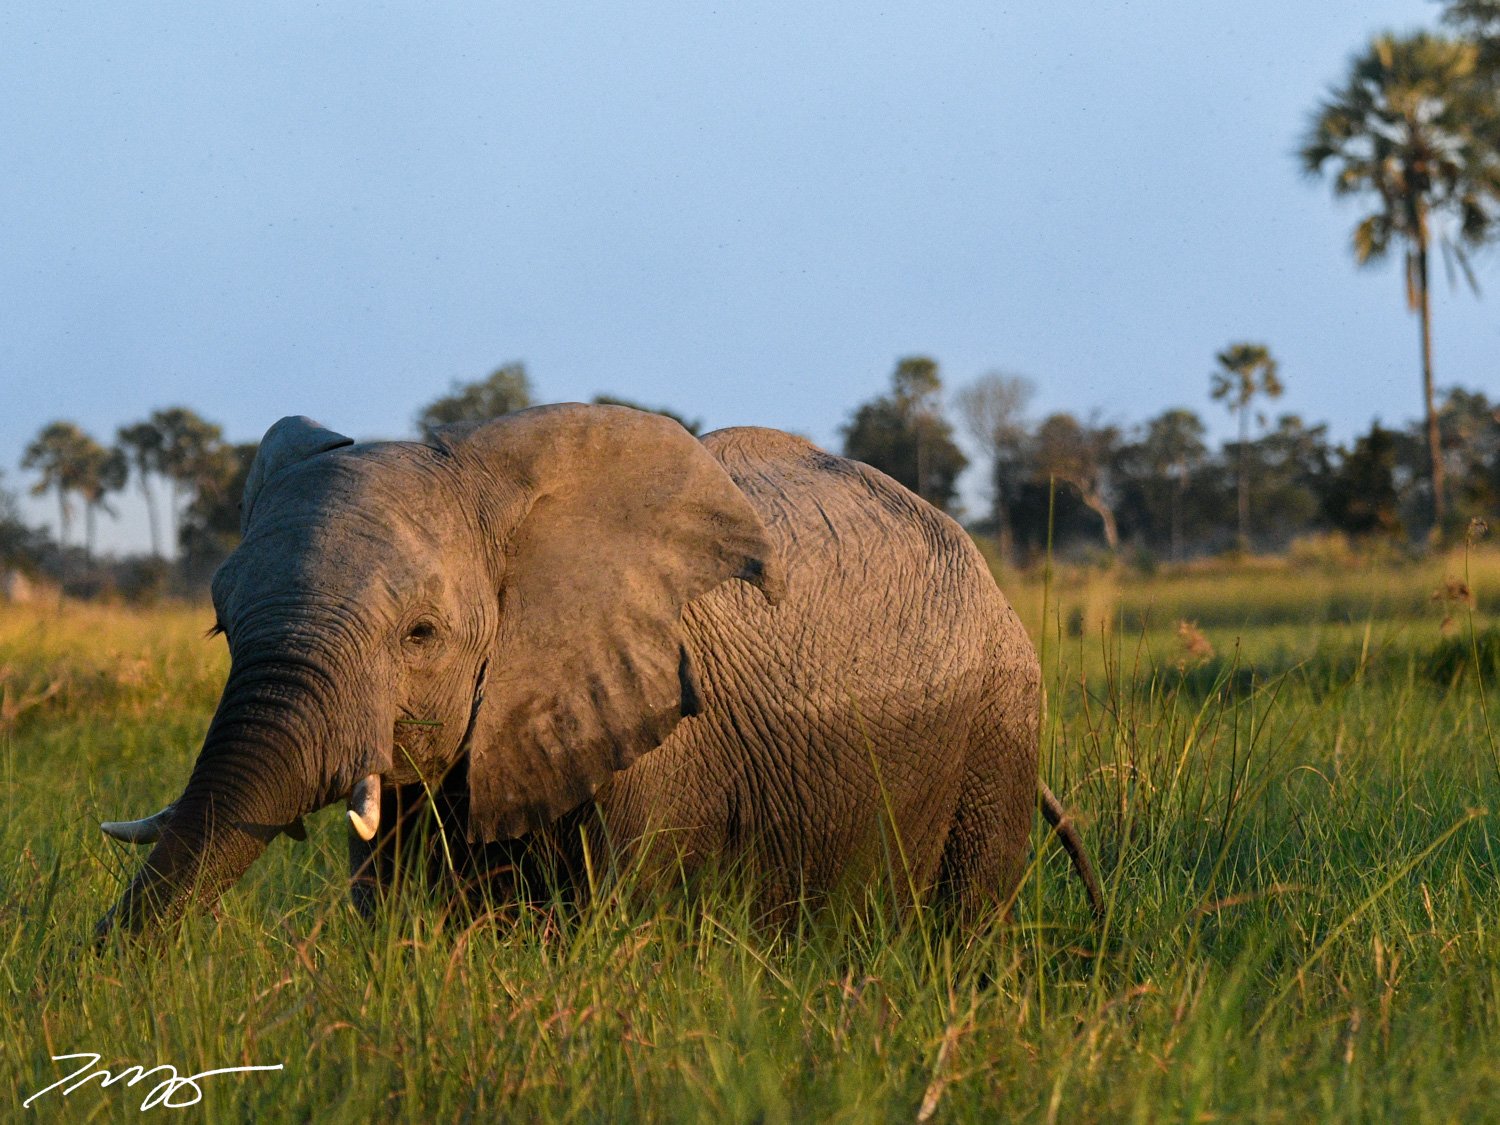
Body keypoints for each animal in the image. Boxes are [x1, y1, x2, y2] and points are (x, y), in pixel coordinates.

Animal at [96, 403, 1101, 939]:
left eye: (420, 633)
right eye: (224, 626)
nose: (97, 957)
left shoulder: (660, 740)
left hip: (1002, 723)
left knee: (964, 923)